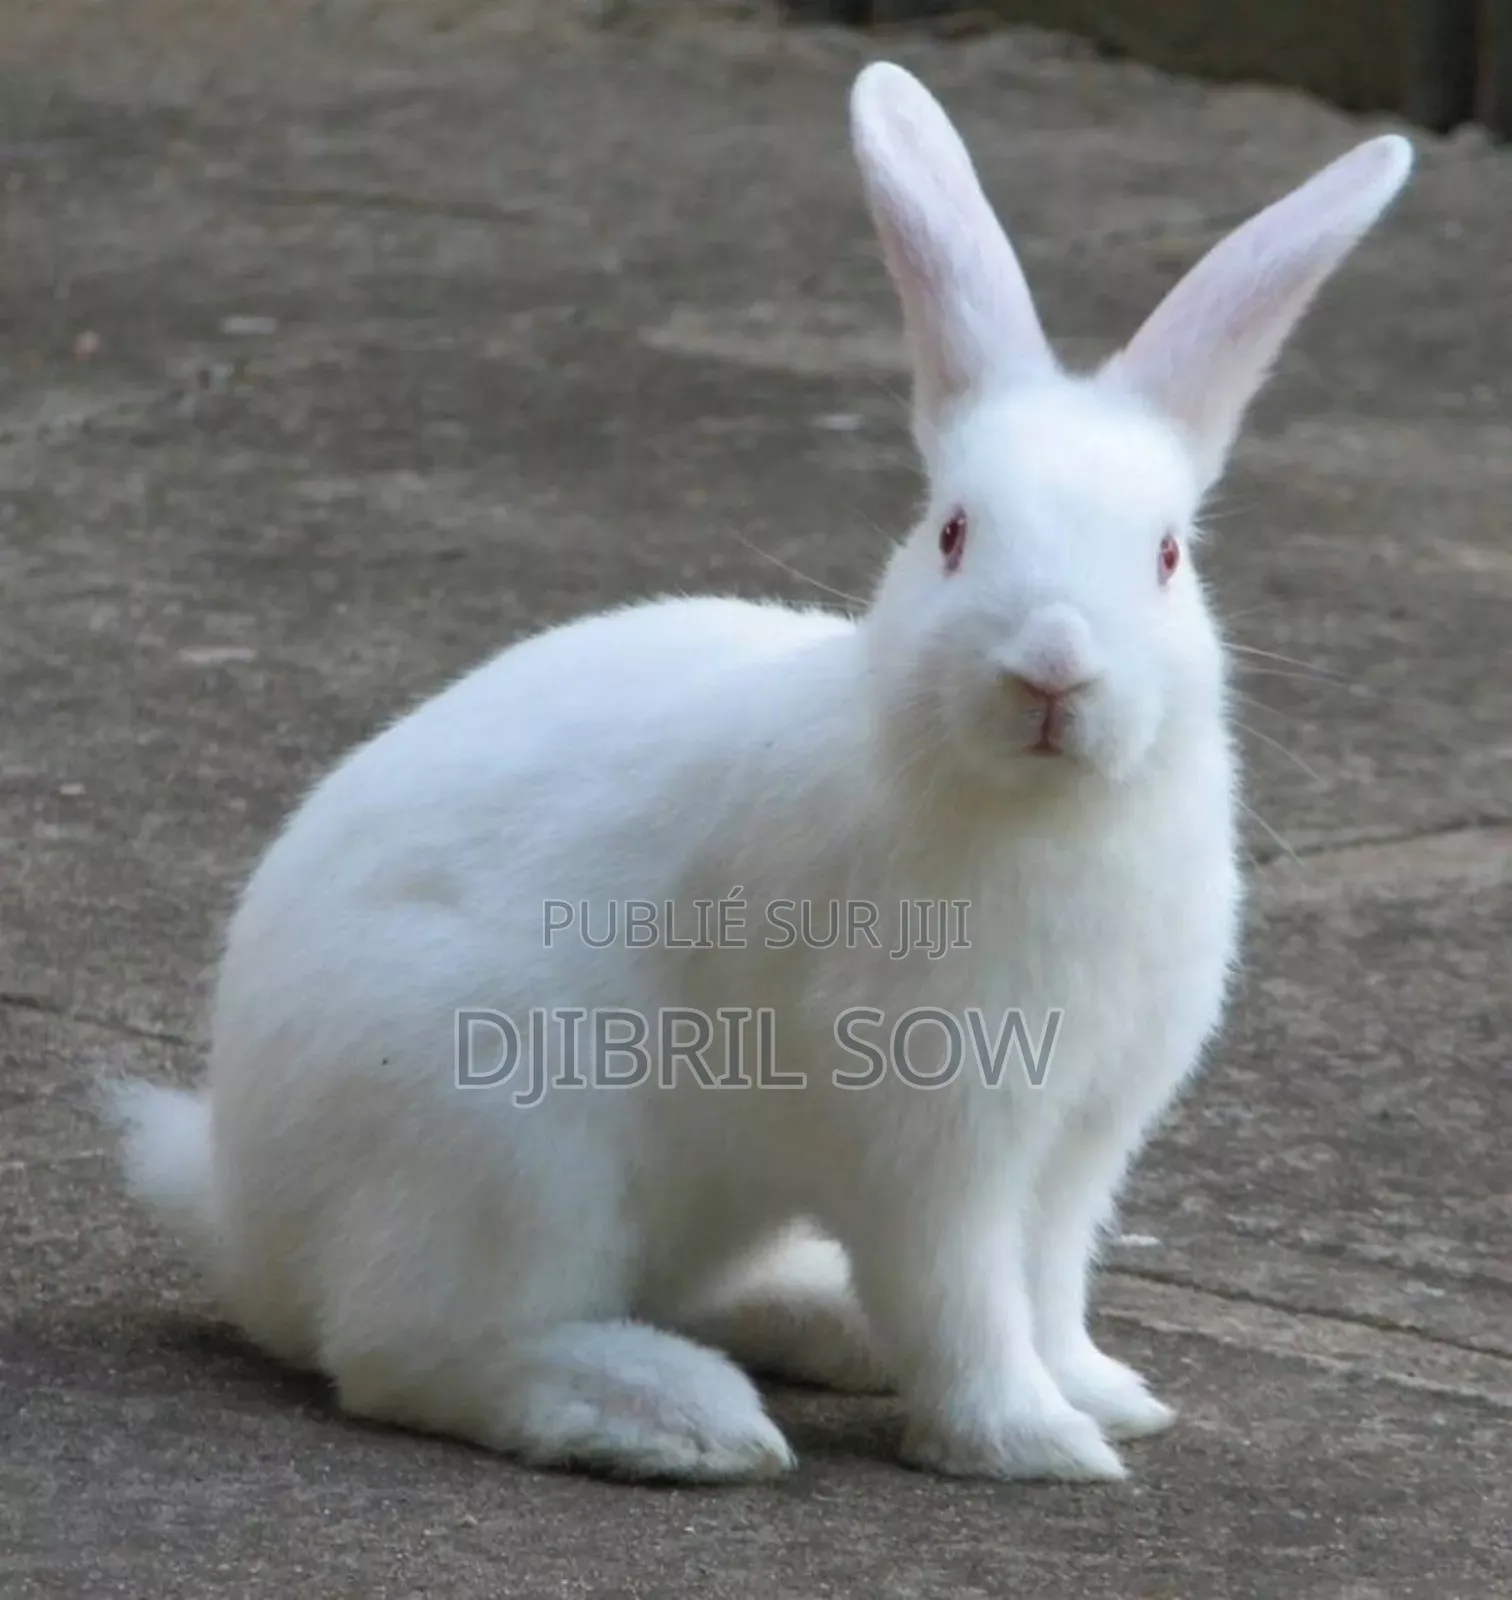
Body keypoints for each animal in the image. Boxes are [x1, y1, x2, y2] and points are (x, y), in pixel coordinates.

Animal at [105, 62, 1413, 1485]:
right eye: (952, 533)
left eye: (1169, 554)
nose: (1053, 671)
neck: (1035, 813)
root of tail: (244, 1215)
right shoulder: (932, 1130)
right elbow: (964, 1292)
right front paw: (1028, 1442)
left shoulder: (1079, 1137)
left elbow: (1049, 1276)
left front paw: (1102, 1394)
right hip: (505, 1142)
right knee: (411, 1353)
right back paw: (679, 1416)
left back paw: (817, 1327)